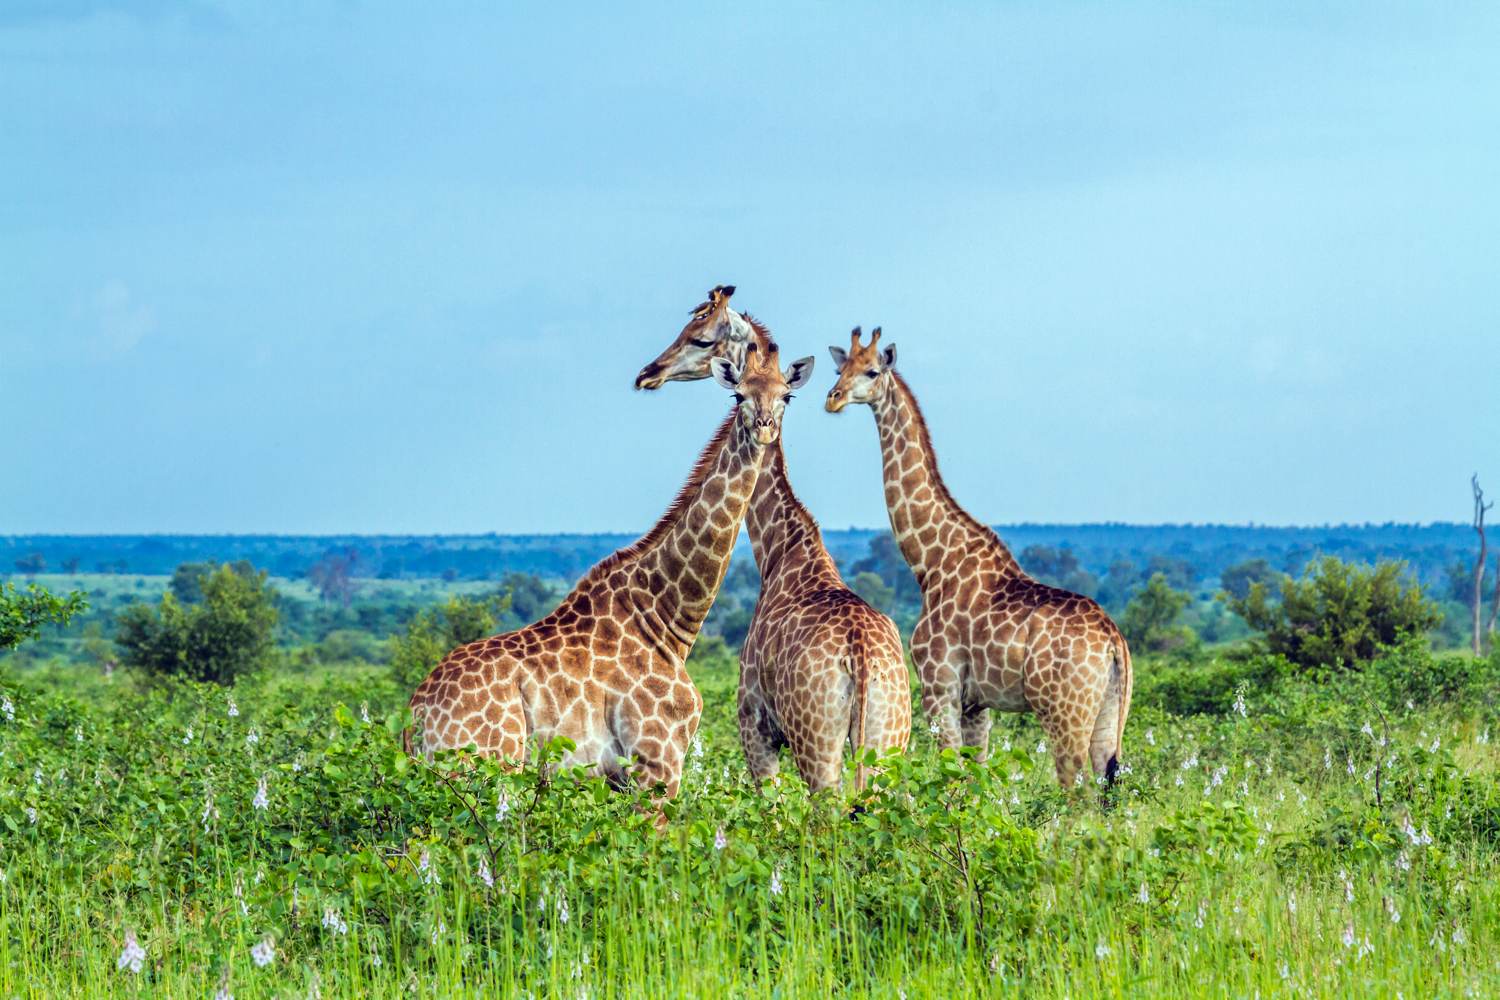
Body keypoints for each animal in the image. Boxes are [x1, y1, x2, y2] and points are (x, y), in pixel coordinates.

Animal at [405, 340, 816, 809]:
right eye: (738, 395)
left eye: (787, 396)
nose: (764, 428)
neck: (666, 619)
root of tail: (415, 718)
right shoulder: (657, 761)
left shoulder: (618, 777)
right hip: (482, 767)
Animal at [630, 287, 906, 791]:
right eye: (741, 391)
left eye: (700, 337)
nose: (648, 373)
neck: (781, 550)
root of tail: (859, 657)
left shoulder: (754, 726)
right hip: (889, 741)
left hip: (817, 746)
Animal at [828, 328, 1128, 791]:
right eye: (839, 369)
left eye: (872, 371)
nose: (834, 398)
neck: (931, 563)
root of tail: (1114, 642)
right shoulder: (976, 703)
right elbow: (975, 779)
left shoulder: (939, 687)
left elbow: (951, 776)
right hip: (1109, 714)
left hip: (1063, 712)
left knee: (1077, 790)